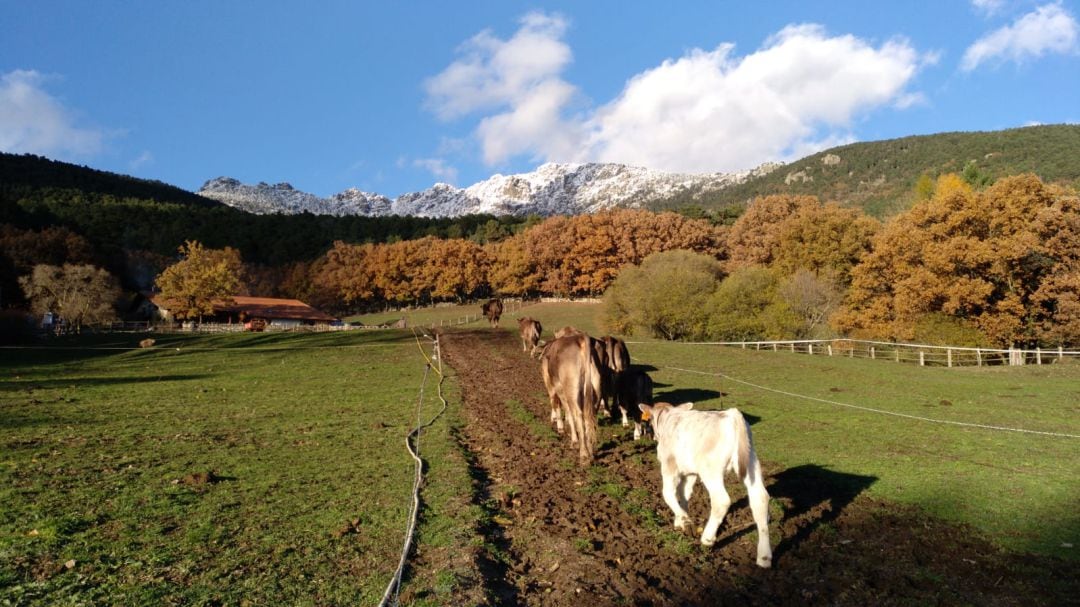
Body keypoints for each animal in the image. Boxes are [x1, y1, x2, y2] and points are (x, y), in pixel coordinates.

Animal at [635, 401, 773, 565]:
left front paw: (684, 520)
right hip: (752, 463)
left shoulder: (669, 466)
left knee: (721, 500)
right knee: (760, 498)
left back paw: (707, 538)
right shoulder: (691, 473)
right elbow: (684, 494)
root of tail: (731, 415)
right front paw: (680, 520)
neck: (669, 417)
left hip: (711, 470)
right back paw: (764, 557)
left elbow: (668, 493)